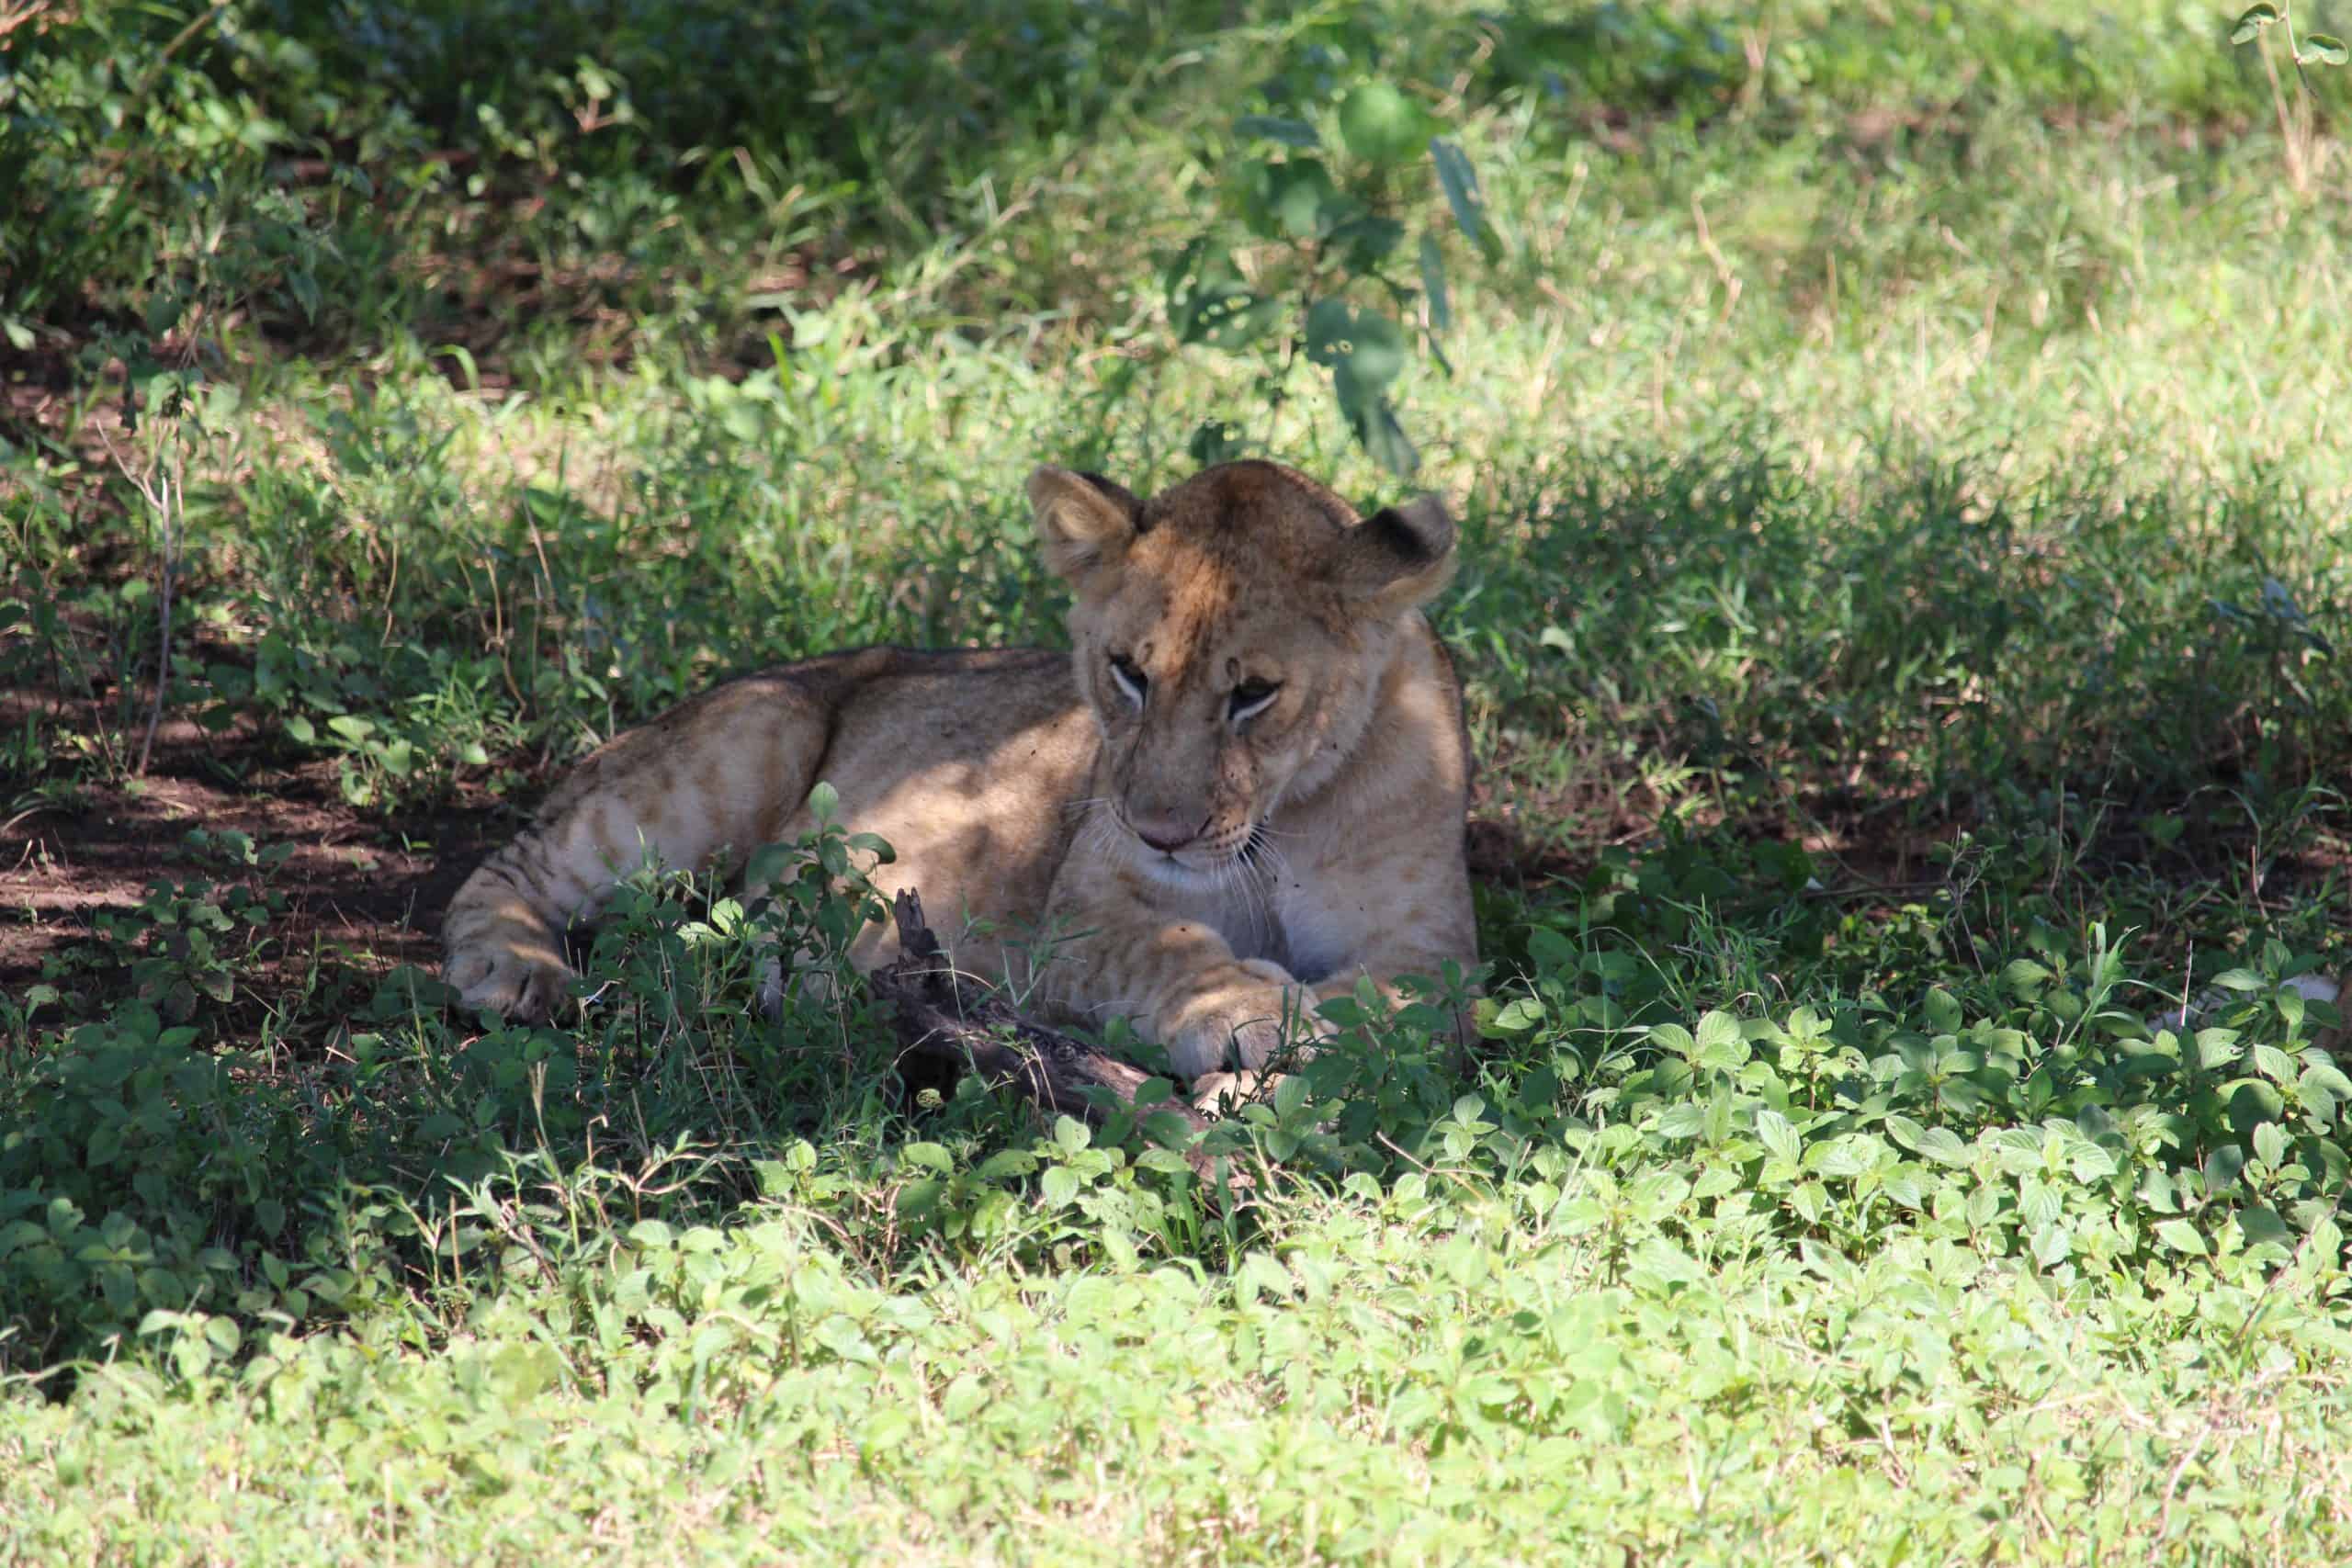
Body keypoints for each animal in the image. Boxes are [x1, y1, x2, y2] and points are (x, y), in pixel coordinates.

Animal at [440, 459, 1479, 1094]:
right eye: (1128, 672)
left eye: (1255, 693)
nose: (1160, 831)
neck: (1277, 826)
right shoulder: (1076, 923)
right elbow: (1173, 949)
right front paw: (1256, 1014)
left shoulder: (1431, 948)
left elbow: (1401, 1006)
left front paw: (1292, 1049)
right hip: (750, 732)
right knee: (508, 866)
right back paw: (514, 971)